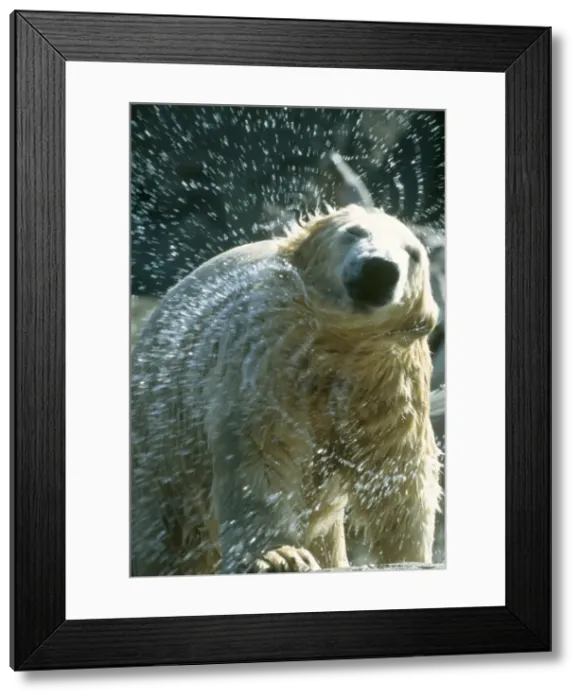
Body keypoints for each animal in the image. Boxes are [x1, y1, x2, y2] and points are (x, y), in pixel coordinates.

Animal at [130, 153, 443, 576]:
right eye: (354, 232)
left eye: (412, 253)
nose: (380, 268)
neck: (337, 346)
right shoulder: (271, 351)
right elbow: (261, 447)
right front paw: (279, 555)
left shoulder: (387, 376)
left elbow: (398, 466)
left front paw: (408, 556)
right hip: (163, 438)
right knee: (164, 529)